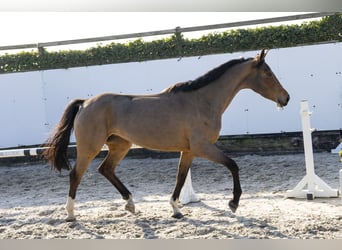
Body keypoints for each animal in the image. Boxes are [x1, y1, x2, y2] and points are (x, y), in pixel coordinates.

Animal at [42, 48, 288, 221]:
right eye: (267, 73)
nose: (285, 98)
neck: (202, 101)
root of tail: (85, 103)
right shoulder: (202, 147)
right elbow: (233, 165)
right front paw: (233, 203)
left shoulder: (189, 151)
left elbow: (180, 177)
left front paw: (176, 209)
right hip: (90, 147)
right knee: (76, 175)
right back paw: (71, 214)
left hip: (120, 145)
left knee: (106, 169)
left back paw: (130, 203)